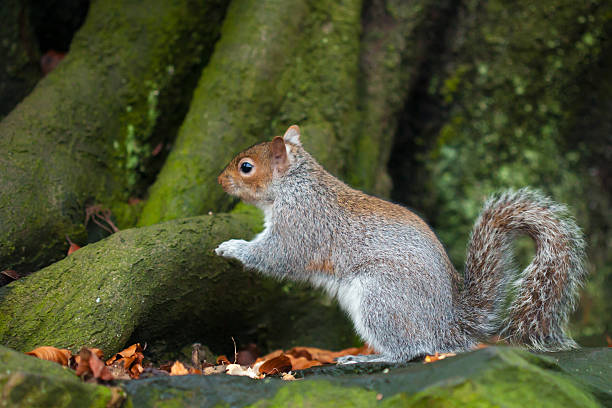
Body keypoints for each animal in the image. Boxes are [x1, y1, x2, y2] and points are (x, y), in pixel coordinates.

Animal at [213, 126, 584, 362]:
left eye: (246, 167)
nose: (219, 180)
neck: (295, 185)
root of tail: (447, 326)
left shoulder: (302, 226)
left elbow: (276, 256)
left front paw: (232, 247)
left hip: (381, 299)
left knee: (409, 350)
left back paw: (369, 359)